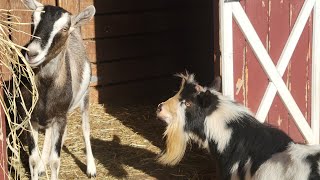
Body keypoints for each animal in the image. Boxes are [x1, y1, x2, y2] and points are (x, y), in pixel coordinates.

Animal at [17, 0, 95, 179]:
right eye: (33, 20)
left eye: (64, 28)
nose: (32, 53)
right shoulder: (30, 116)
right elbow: (33, 159)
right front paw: (38, 167)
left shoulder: (60, 117)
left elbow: (55, 161)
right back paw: (41, 165)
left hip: (85, 96)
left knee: (85, 128)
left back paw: (91, 168)